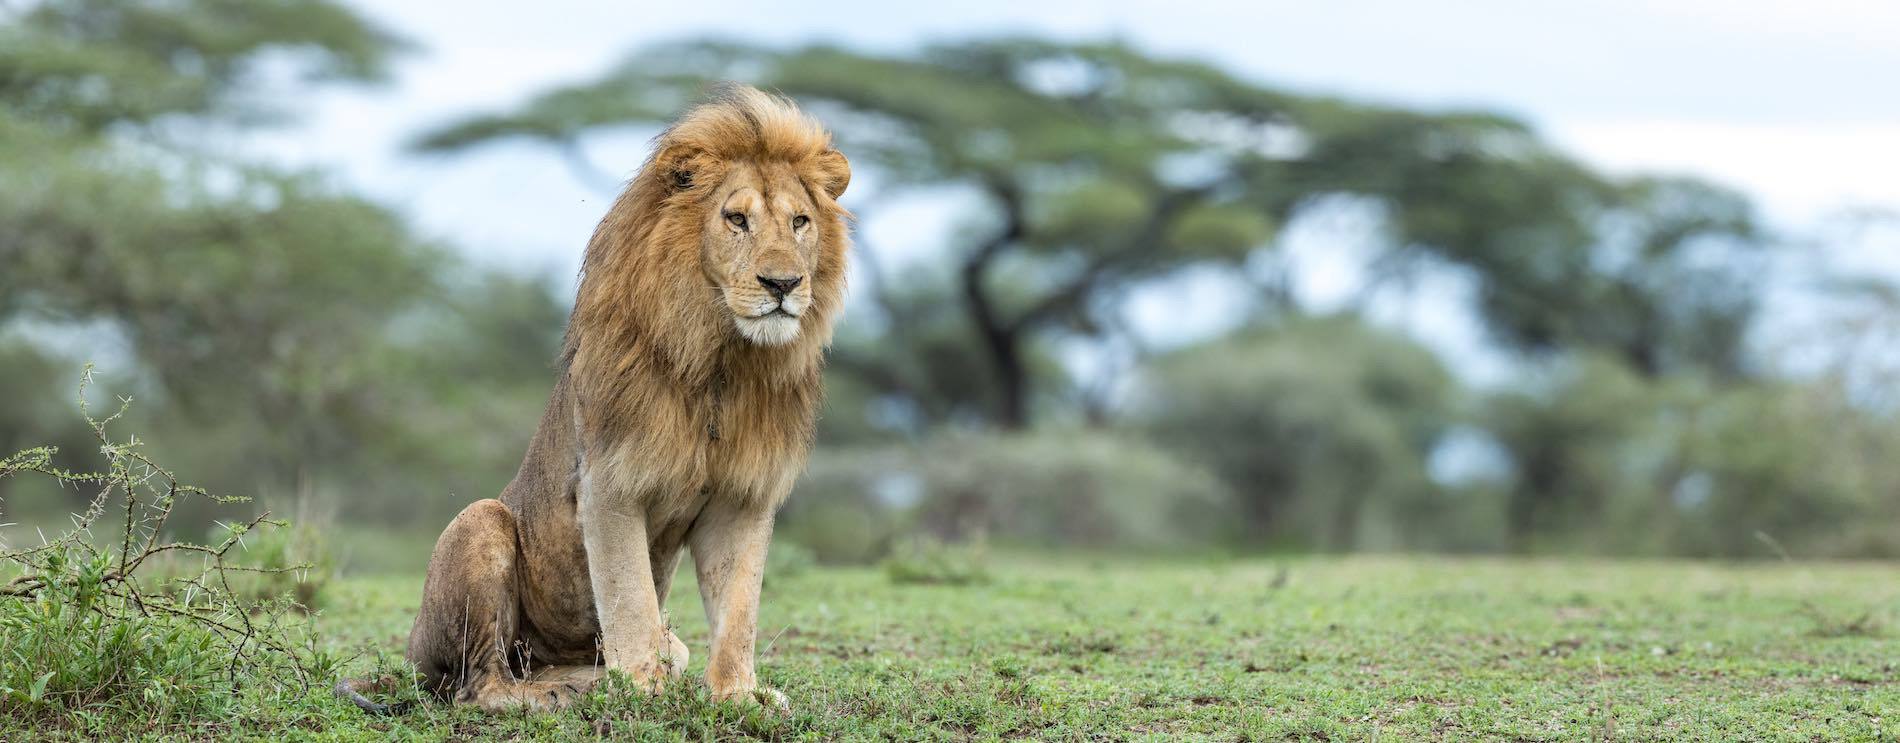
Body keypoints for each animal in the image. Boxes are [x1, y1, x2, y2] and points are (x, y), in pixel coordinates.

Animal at [338, 85, 851, 714]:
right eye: (736, 219)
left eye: (801, 222)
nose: (784, 285)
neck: (723, 363)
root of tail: (407, 663)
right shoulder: (610, 484)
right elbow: (630, 597)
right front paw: (644, 690)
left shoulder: (742, 498)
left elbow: (738, 611)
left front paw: (737, 696)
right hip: (479, 524)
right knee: (478, 687)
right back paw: (556, 693)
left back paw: (589, 681)